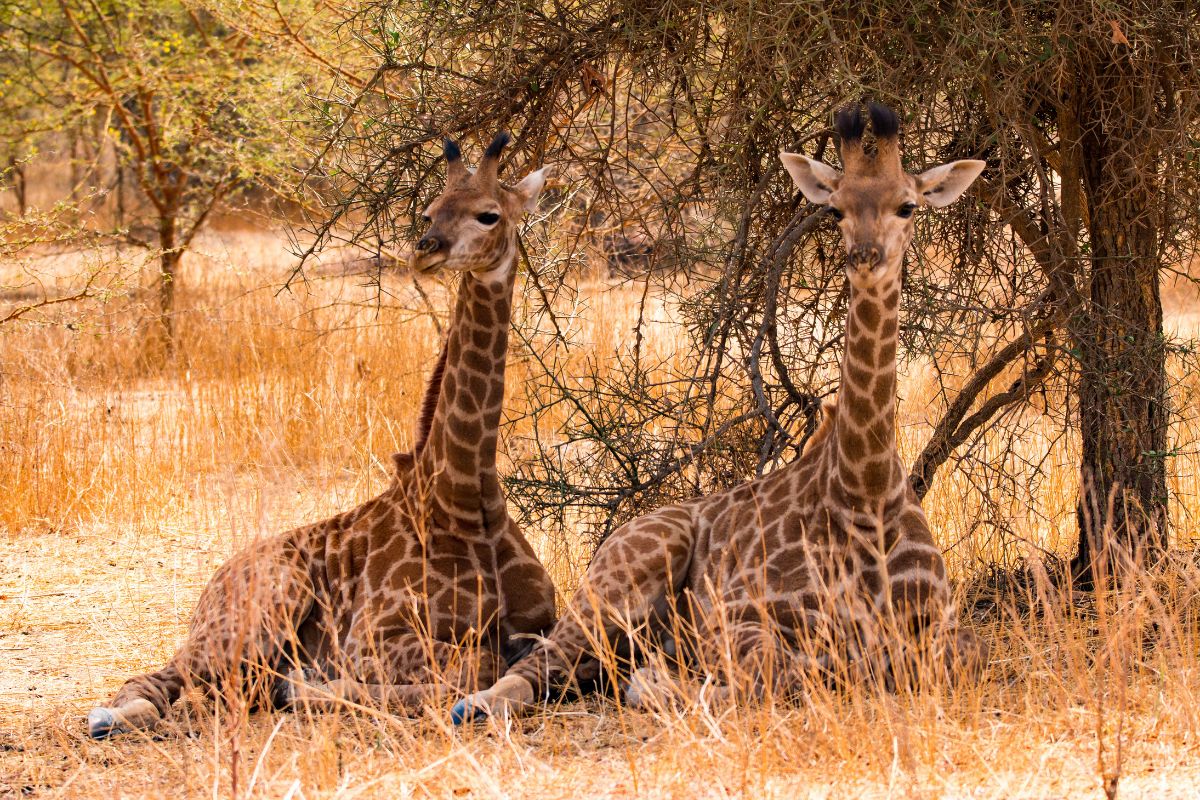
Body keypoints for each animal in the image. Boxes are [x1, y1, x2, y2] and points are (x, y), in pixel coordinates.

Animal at [88, 131, 556, 738]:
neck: (463, 492)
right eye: (430, 210)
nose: (425, 249)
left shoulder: (546, 622)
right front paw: (318, 688)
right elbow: (469, 665)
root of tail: (214, 582)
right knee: (162, 679)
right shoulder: (371, 640)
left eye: (488, 214)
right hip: (269, 600)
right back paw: (121, 715)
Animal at [453, 103, 988, 724]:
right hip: (623, 574)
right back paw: (477, 703)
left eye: (908, 204)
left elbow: (954, 657)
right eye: (834, 208)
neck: (866, 493)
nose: (865, 257)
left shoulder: (943, 631)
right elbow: (775, 674)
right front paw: (661, 687)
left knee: (579, 669)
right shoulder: (733, 618)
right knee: (536, 666)